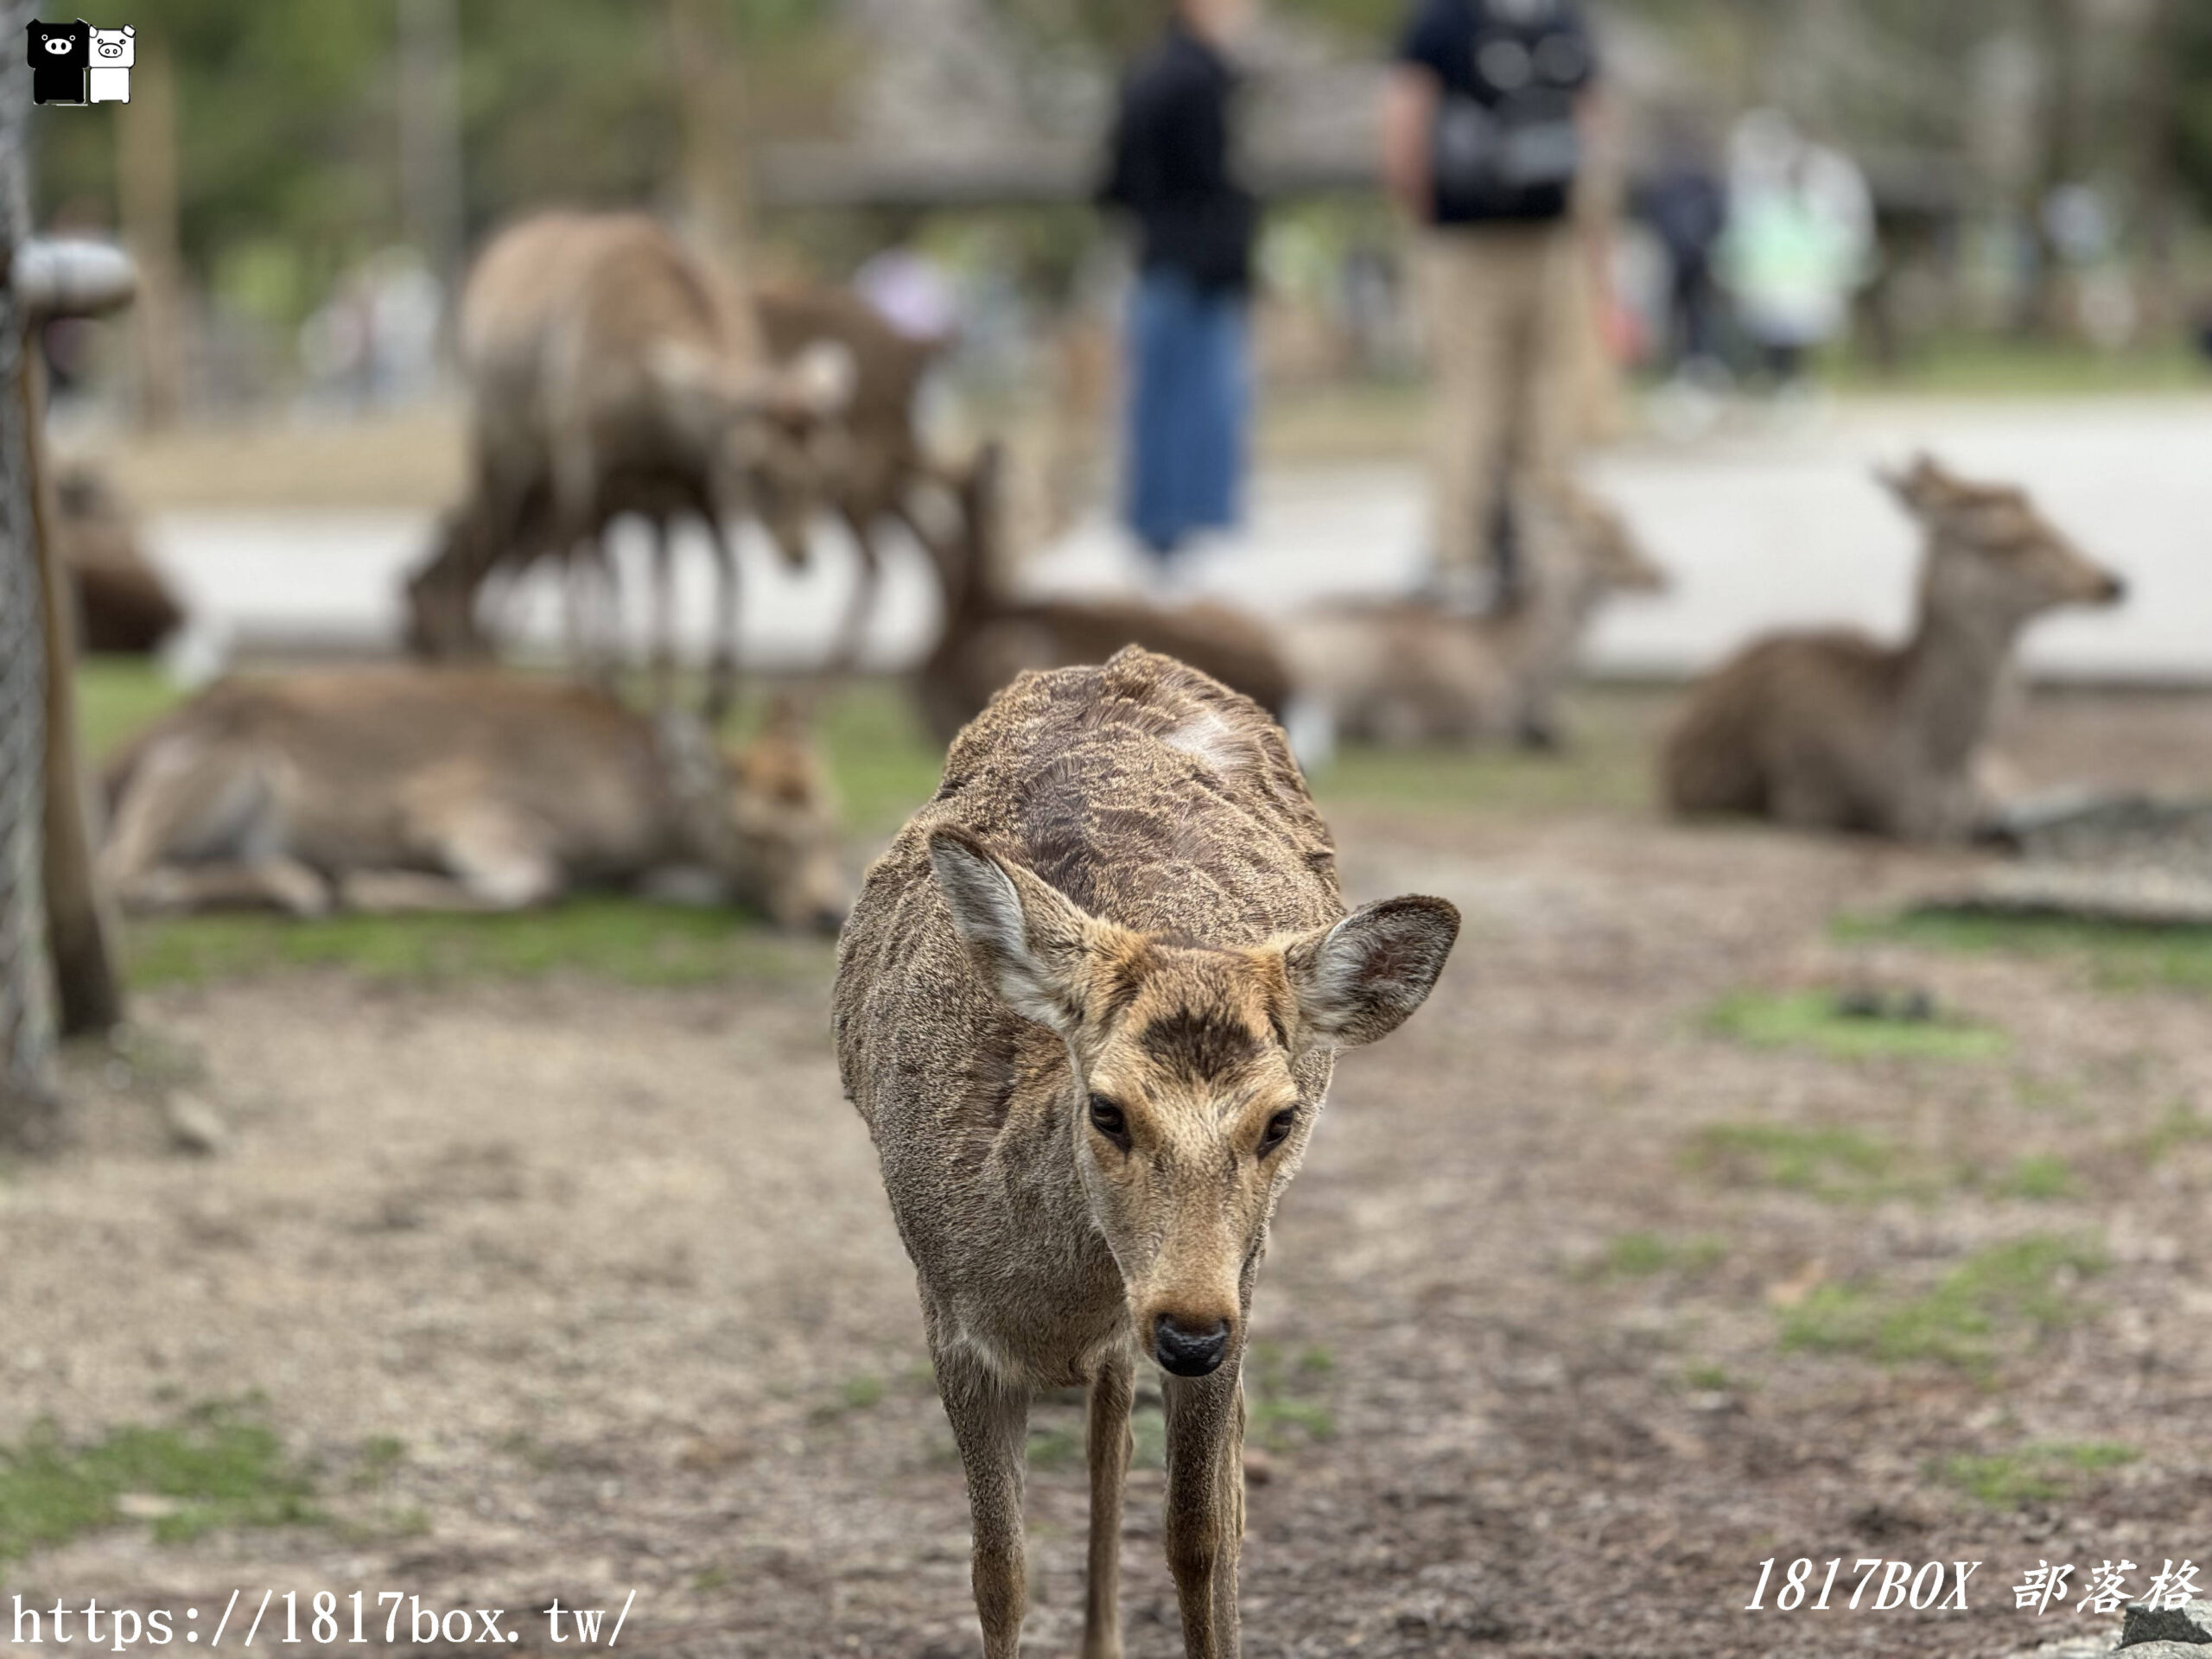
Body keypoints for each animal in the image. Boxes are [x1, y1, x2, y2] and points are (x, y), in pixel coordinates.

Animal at [92, 672, 844, 938]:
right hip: (209, 765)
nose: (823, 911)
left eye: (829, 825)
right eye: (756, 832)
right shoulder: (455, 802)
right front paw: (374, 886)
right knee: (121, 874)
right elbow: (536, 881)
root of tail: (111, 768)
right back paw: (306, 885)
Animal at [831, 650, 1451, 1659]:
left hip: (1238, 1271)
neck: (1041, 1302)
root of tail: (1130, 659)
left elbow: (1200, 1535)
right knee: (1111, 1423)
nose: (1190, 1333)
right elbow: (997, 1570)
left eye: (1279, 1120)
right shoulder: (947, 1312)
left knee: (1177, 1456)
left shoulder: (1230, 1291)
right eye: (1107, 1110)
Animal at [1282, 480, 1663, 765]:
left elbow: (1563, 731)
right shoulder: (1455, 717)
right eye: (1600, 539)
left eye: (1624, 527)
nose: (1658, 575)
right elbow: (1492, 737)